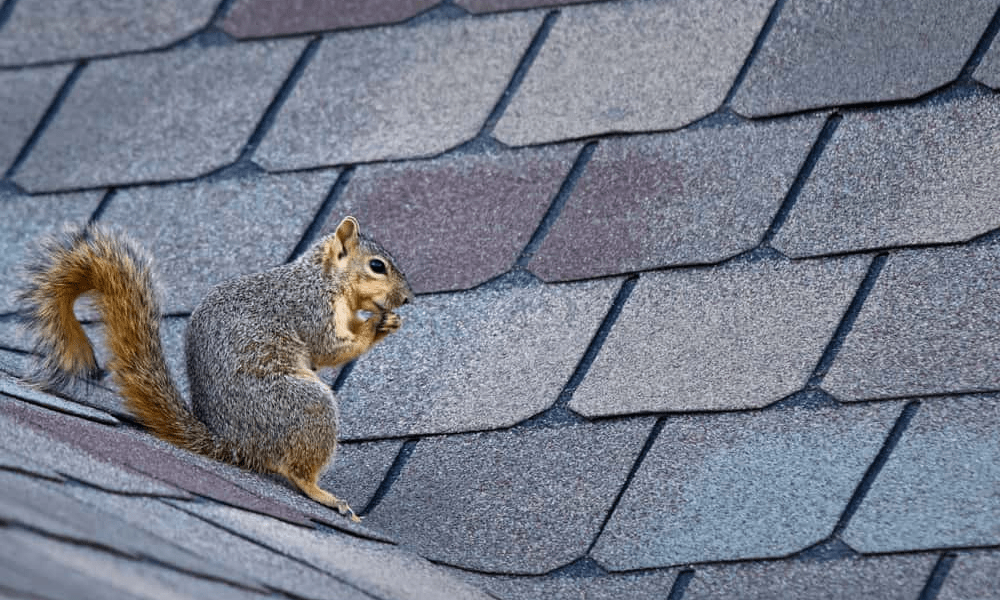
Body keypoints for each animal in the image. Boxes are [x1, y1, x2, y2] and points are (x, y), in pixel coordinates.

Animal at [18, 216, 413, 522]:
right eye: (377, 265)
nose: (408, 298)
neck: (324, 278)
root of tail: (233, 444)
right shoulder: (309, 309)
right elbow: (329, 347)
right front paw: (376, 326)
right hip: (305, 404)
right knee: (297, 470)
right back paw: (323, 494)